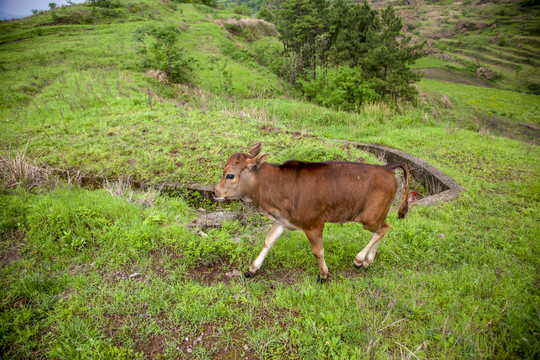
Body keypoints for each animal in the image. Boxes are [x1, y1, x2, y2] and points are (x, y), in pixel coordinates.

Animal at [212, 141, 410, 282]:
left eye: (230, 175)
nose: (214, 192)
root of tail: (386, 167)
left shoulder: (314, 224)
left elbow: (318, 251)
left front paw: (323, 274)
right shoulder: (281, 220)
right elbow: (268, 241)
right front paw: (253, 269)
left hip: (370, 217)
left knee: (383, 229)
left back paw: (360, 259)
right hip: (374, 216)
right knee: (383, 228)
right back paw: (368, 261)